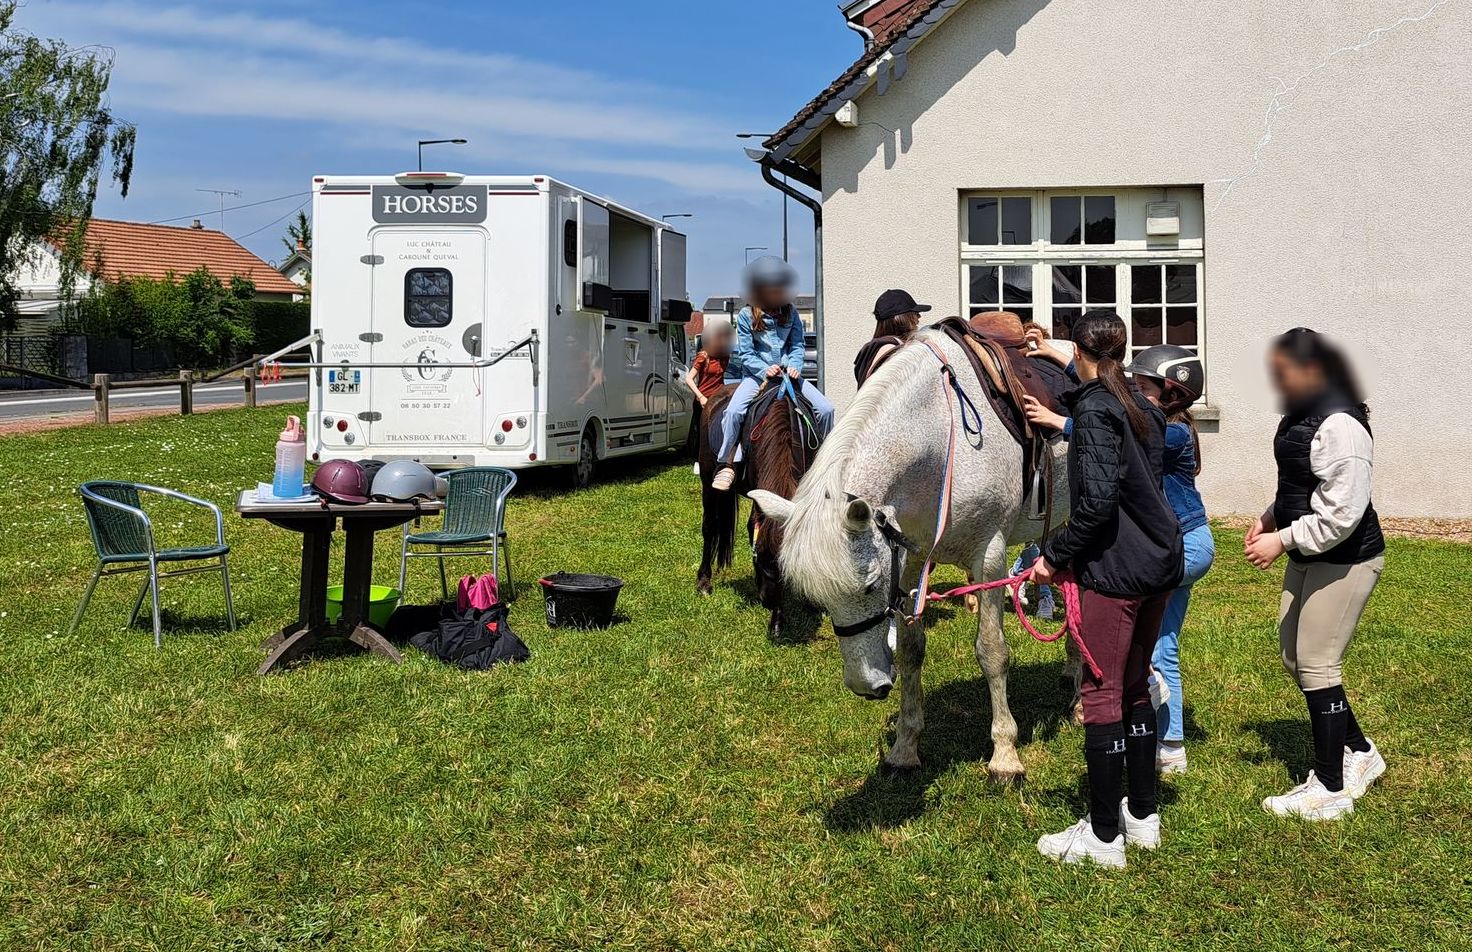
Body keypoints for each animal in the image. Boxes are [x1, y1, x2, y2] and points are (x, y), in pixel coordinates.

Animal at [697, 379, 824, 641]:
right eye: (764, 561)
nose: (767, 600)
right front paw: (777, 621)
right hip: (707, 480)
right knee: (710, 527)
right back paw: (704, 582)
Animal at [753, 328, 1065, 782]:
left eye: (868, 588)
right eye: (821, 601)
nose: (867, 687)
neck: (939, 436)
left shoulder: (989, 558)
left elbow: (992, 652)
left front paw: (1005, 755)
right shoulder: (909, 562)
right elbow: (911, 651)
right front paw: (905, 747)